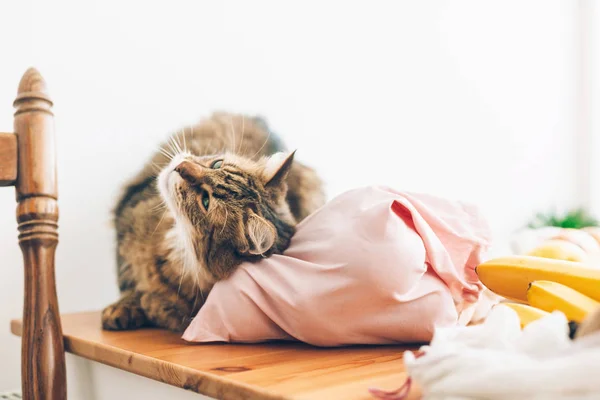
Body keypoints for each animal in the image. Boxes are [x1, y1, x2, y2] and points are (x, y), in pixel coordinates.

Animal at [101, 112, 326, 332]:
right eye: (217, 164)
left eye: (205, 201)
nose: (180, 167)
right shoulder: (127, 216)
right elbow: (127, 279)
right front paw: (123, 307)